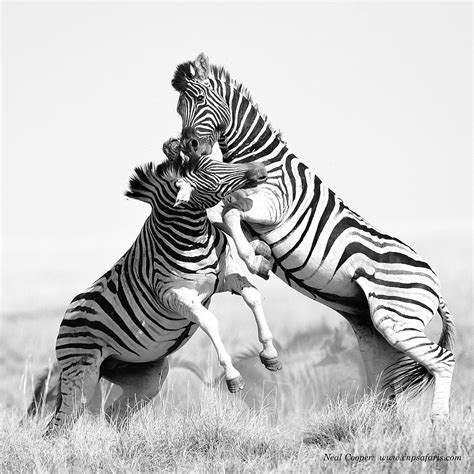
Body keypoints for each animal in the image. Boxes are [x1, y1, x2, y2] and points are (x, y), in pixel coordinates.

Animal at [30, 139, 282, 436]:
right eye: (208, 172)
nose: (261, 169)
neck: (193, 235)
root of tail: (68, 315)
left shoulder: (225, 278)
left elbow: (253, 296)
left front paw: (270, 354)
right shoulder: (175, 295)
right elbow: (209, 321)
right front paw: (233, 376)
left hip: (145, 375)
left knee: (114, 414)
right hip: (81, 375)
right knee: (58, 427)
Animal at [170, 53, 456, 420]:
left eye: (201, 99)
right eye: (179, 108)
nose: (189, 147)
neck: (261, 160)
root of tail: (436, 287)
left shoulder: (273, 207)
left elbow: (229, 214)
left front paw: (255, 262)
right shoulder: (248, 212)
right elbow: (225, 217)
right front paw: (261, 255)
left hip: (396, 321)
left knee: (443, 361)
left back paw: (438, 422)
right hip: (378, 335)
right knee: (387, 387)